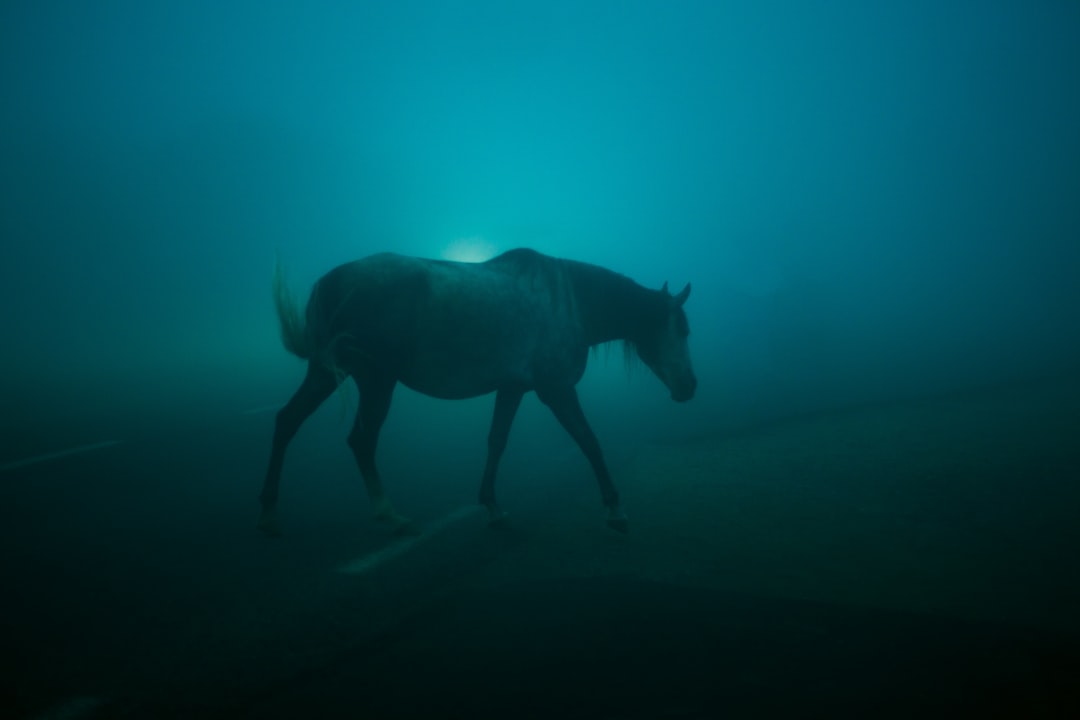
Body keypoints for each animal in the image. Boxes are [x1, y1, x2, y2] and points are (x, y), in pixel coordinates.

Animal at [259, 247, 696, 536]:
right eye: (682, 328)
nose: (689, 387)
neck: (568, 302)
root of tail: (330, 283)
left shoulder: (513, 388)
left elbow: (497, 441)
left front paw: (492, 506)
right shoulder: (555, 390)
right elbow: (589, 441)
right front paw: (614, 507)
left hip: (326, 373)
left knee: (287, 421)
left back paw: (270, 510)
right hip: (375, 379)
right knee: (361, 440)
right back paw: (388, 513)